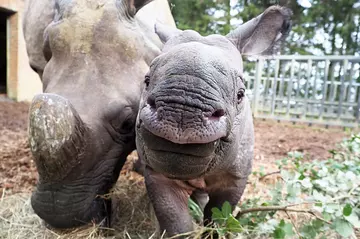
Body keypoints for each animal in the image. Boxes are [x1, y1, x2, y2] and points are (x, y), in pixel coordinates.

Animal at [135, 6, 292, 237]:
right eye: (146, 81)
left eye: (240, 94)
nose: (182, 113)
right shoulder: (157, 172)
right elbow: (175, 219)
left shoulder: (236, 177)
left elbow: (219, 215)